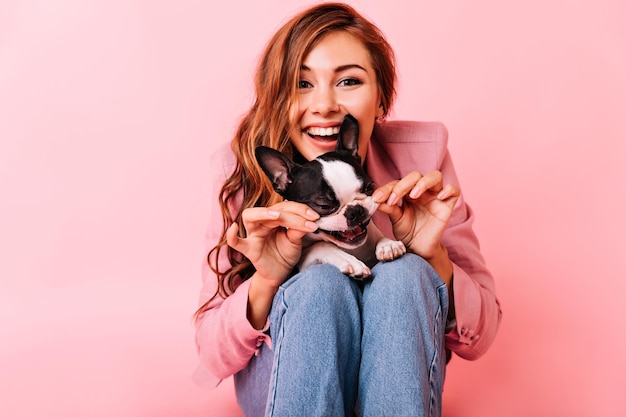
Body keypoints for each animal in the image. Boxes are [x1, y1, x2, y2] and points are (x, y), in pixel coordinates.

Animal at [254, 113, 404, 280]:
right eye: (323, 206)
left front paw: (388, 244)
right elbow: (320, 245)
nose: (355, 210)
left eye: (369, 187)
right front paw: (349, 261)